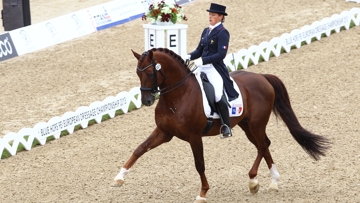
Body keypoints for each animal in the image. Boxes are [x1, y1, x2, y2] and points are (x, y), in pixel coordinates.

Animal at [113, 48, 332, 203]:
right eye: (137, 72)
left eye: (150, 73)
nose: (147, 100)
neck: (178, 95)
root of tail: (262, 77)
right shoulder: (164, 133)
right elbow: (139, 149)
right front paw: (119, 177)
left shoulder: (194, 137)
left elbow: (199, 164)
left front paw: (202, 194)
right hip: (246, 125)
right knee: (264, 145)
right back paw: (273, 182)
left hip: (256, 124)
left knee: (262, 145)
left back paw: (253, 181)